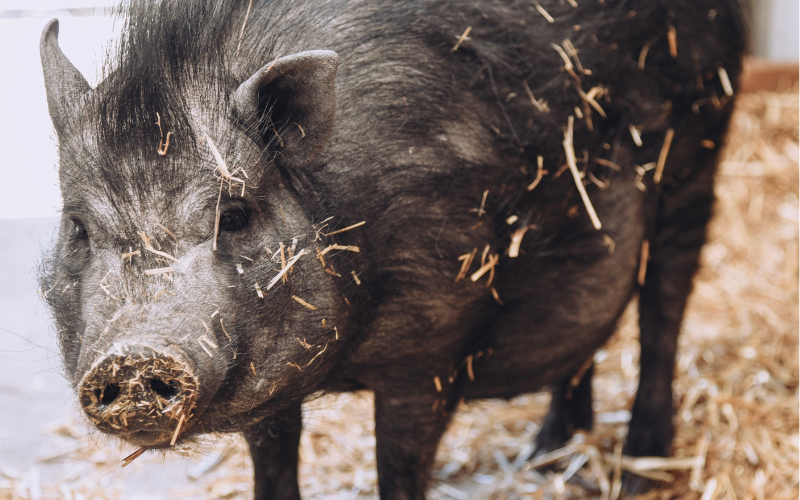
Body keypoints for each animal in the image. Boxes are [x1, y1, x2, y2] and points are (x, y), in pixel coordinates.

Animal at [40, 0, 748, 496]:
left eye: (234, 216)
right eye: (77, 227)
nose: (134, 355)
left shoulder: (429, 348)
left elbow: (399, 470)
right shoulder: (275, 381)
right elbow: (275, 468)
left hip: (699, 151)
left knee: (662, 312)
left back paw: (639, 474)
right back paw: (545, 458)